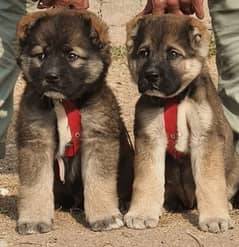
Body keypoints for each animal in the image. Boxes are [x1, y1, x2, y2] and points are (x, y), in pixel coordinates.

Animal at [15, 8, 134, 234]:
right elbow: (35, 184)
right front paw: (34, 219)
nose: (51, 76)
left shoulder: (98, 139)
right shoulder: (36, 141)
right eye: (41, 55)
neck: (66, 103)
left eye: (72, 56)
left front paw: (104, 216)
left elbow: (99, 181)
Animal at [124, 14, 239, 233]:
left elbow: (210, 182)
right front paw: (142, 213)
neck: (174, 100)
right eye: (144, 53)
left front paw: (214, 217)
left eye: (173, 53)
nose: (150, 75)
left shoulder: (205, 138)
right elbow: (147, 179)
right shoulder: (149, 138)